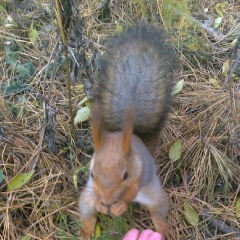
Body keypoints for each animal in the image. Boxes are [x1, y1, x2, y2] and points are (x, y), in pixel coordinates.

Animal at [78, 21, 176, 239]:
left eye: (125, 175)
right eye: (92, 175)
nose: (106, 202)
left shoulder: (139, 174)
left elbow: (131, 191)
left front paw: (120, 205)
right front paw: (101, 205)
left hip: (154, 195)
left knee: (157, 211)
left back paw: (163, 228)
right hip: (85, 200)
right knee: (88, 212)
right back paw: (87, 229)